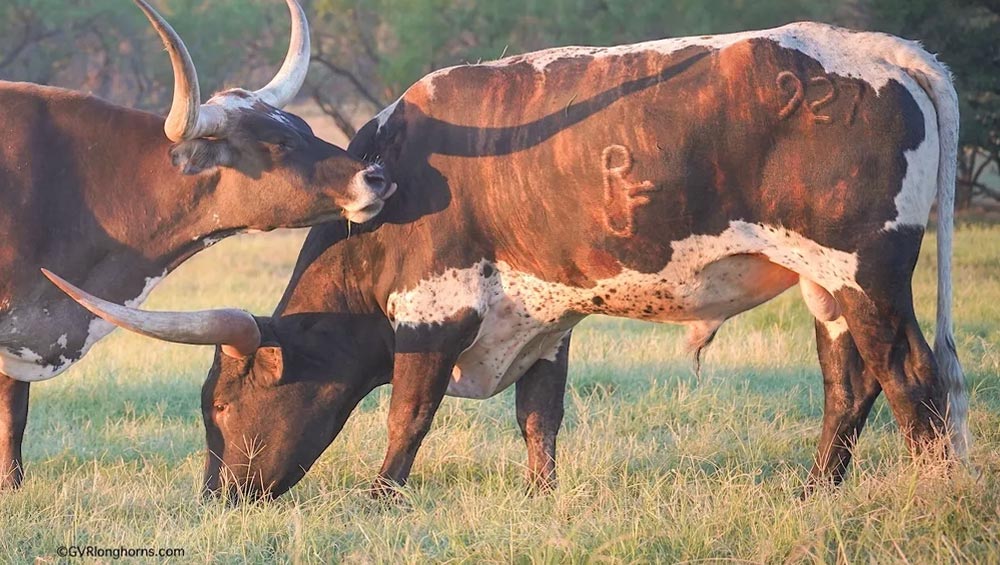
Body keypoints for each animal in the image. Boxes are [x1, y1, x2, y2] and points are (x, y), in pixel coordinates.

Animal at [52, 22, 968, 498]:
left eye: (223, 400)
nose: (221, 497)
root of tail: (880, 50)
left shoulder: (434, 309)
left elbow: (409, 412)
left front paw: (380, 496)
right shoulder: (545, 314)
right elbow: (539, 415)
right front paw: (540, 496)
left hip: (865, 269)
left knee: (911, 379)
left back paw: (931, 494)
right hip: (826, 283)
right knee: (849, 383)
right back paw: (817, 490)